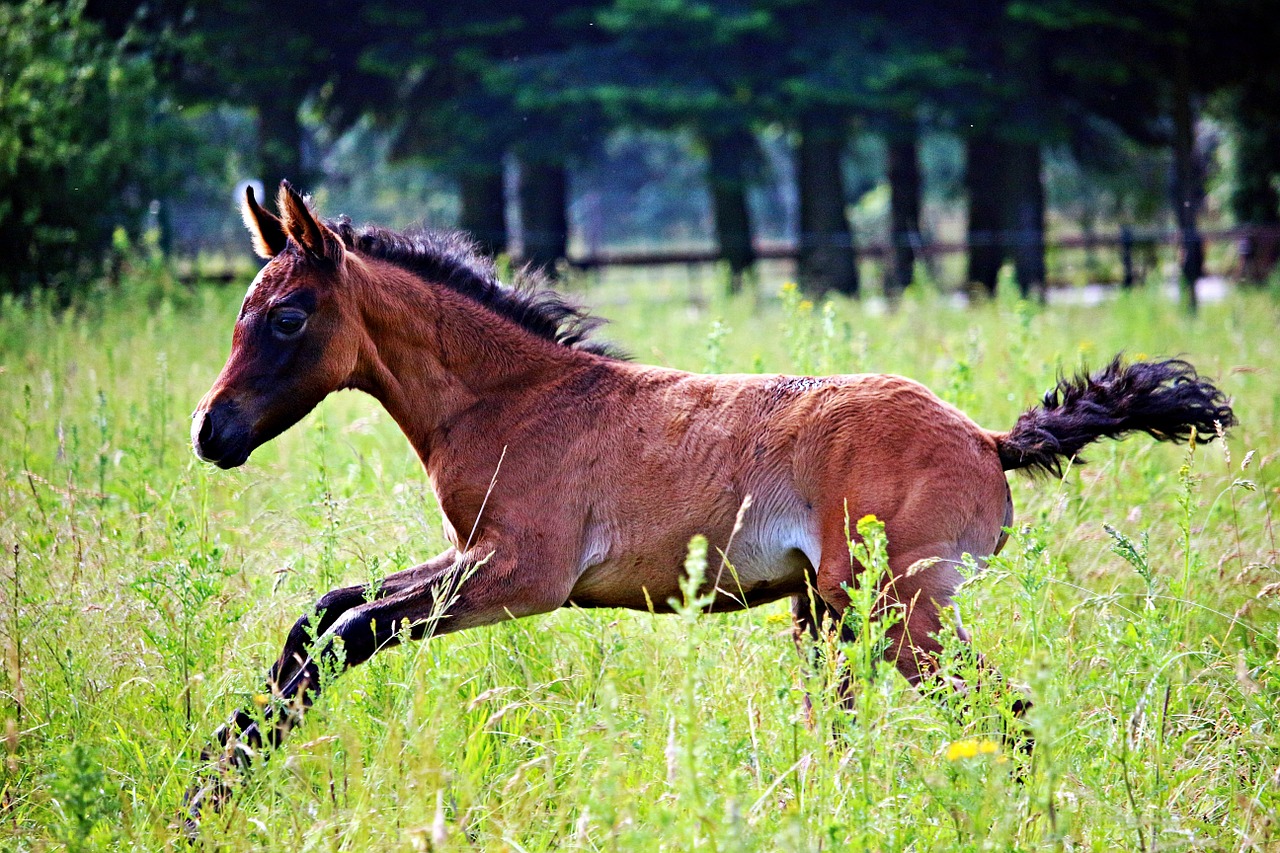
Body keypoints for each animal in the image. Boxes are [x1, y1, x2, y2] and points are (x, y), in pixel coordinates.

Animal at [185, 183, 1233, 819]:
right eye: (239, 310)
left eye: (287, 318)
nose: (211, 433)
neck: (516, 397)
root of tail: (988, 440)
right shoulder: (471, 553)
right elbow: (324, 611)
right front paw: (215, 774)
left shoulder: (523, 574)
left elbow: (354, 628)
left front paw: (217, 784)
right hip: (829, 613)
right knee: (843, 731)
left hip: (906, 611)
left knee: (1007, 715)